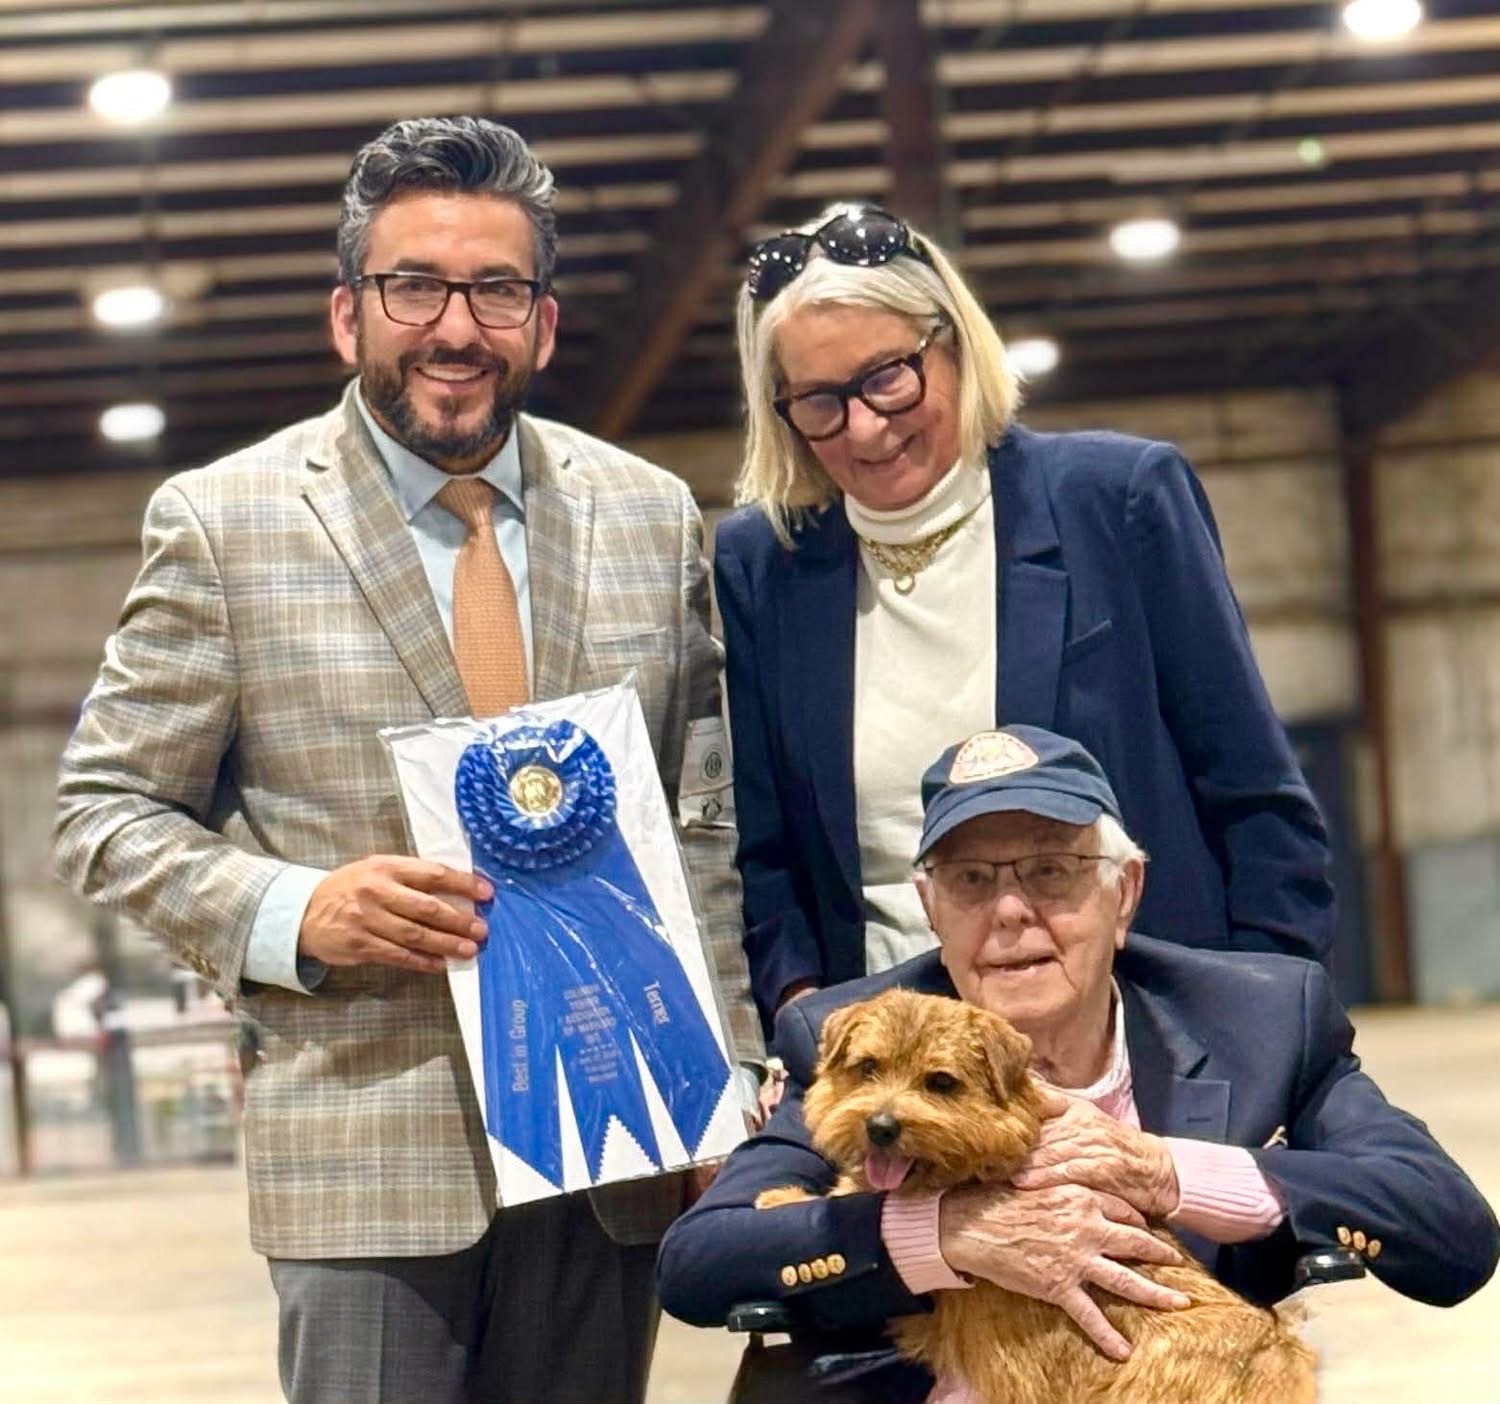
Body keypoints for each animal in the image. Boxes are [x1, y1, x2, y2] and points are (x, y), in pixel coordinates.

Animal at [755, 988, 1316, 1404]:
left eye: (940, 1082)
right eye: (867, 1067)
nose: (881, 1127)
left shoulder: (932, 1314)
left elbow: (863, 1195)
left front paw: (780, 1199)